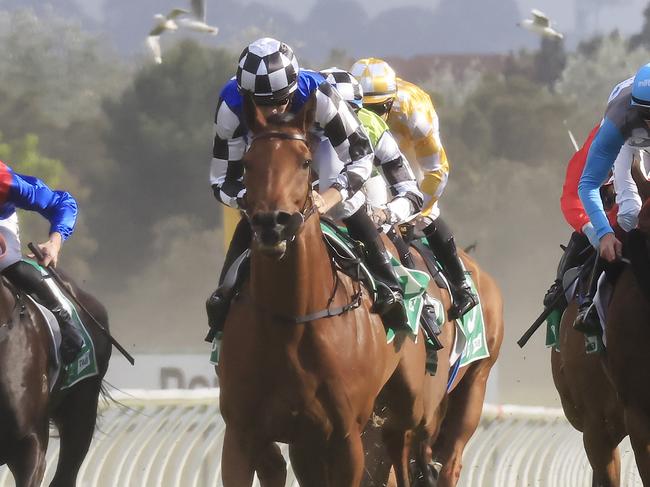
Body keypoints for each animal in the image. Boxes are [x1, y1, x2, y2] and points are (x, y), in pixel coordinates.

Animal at [218, 95, 440, 487]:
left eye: (305, 161)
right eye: (247, 162)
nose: (273, 223)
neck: (292, 318)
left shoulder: (344, 437)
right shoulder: (244, 434)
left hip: (405, 403)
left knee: (402, 445)